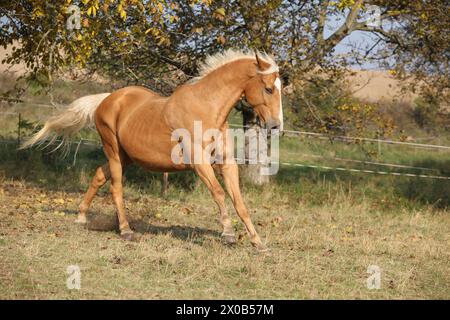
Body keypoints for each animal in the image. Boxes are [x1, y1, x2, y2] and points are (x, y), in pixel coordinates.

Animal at [22, 48, 282, 251]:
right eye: (269, 89)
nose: (275, 126)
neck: (207, 109)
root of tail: (108, 99)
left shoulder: (226, 164)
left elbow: (240, 202)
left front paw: (258, 243)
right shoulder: (199, 163)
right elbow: (219, 193)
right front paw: (228, 235)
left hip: (126, 157)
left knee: (98, 176)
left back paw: (81, 216)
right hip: (113, 152)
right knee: (116, 188)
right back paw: (126, 230)